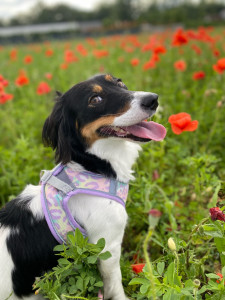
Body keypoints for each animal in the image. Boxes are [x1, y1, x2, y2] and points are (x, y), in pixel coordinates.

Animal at [0, 73, 165, 300]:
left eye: (120, 82)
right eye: (95, 99)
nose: (152, 99)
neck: (91, 170)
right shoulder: (108, 247)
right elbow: (115, 285)